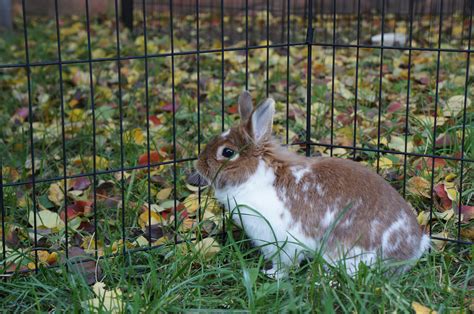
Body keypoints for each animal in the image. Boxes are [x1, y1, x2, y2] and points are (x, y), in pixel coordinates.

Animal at [194, 90, 432, 278]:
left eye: (227, 152)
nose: (199, 164)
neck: (256, 174)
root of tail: (411, 250)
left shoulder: (282, 243)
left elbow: (284, 265)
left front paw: (272, 275)